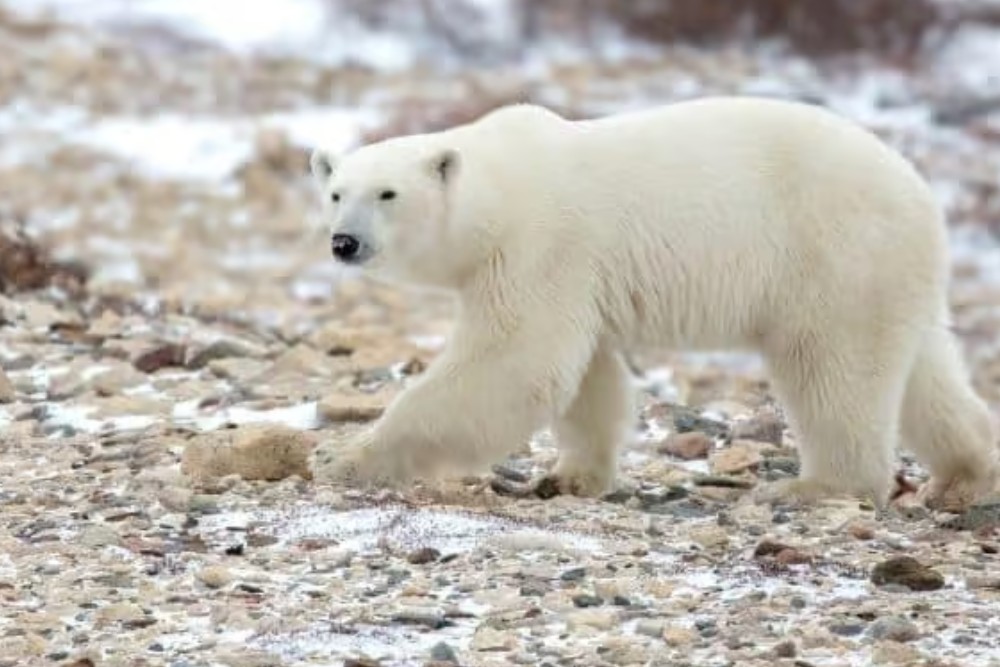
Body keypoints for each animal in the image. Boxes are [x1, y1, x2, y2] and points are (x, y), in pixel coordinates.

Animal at [307, 96, 999, 511]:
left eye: (388, 193)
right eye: (337, 192)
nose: (344, 242)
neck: (501, 190)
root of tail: (919, 190)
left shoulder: (540, 245)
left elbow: (516, 363)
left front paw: (349, 458)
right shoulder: (575, 273)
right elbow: (587, 379)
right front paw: (570, 477)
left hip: (833, 252)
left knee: (832, 368)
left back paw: (816, 486)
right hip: (888, 271)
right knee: (923, 373)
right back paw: (968, 473)